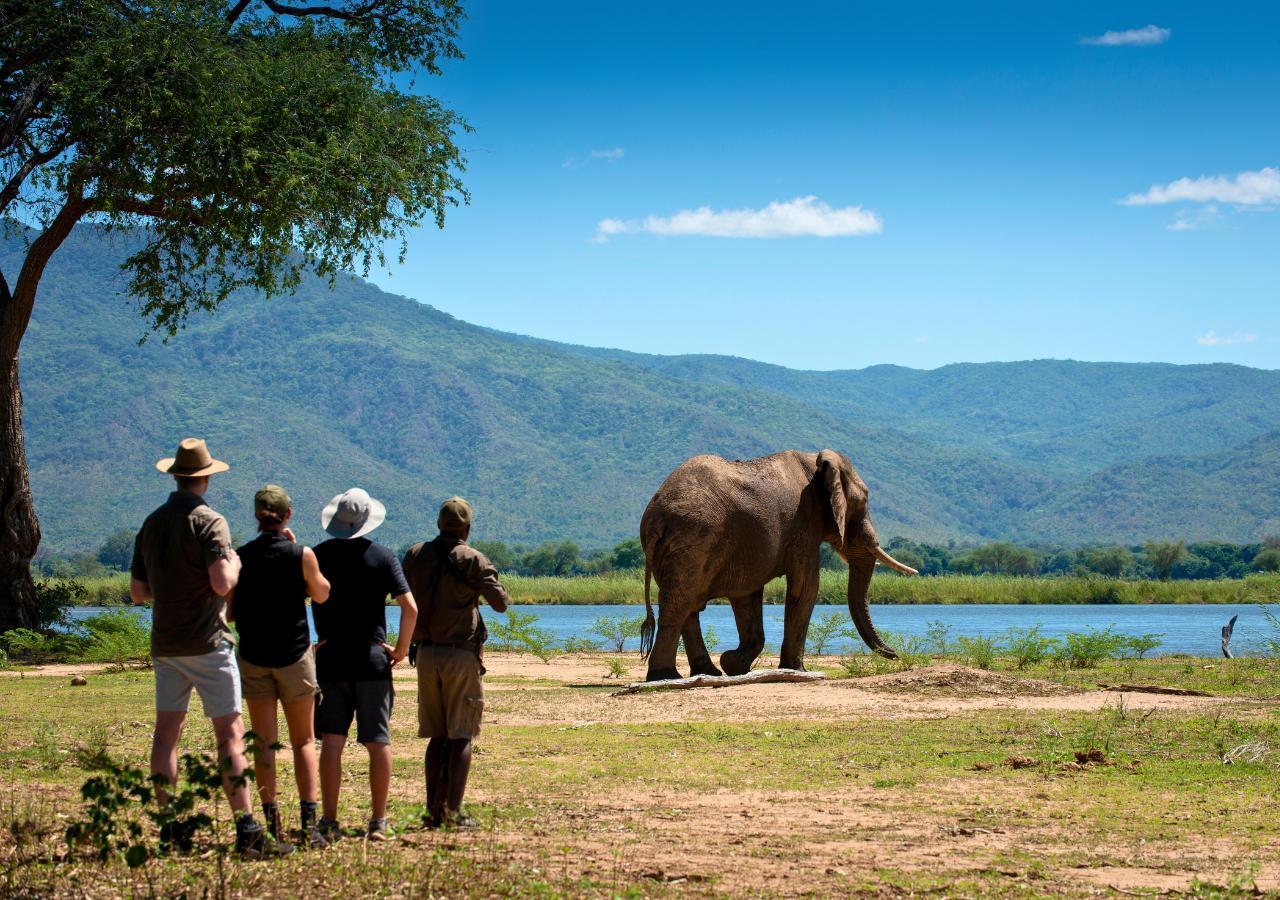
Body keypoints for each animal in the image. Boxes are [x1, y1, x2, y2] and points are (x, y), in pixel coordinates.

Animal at [639, 449, 917, 682]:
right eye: (864, 501)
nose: (895, 654)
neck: (814, 462)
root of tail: (654, 518)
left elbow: (747, 595)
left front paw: (734, 664)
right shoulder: (804, 523)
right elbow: (805, 588)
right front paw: (797, 670)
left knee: (689, 605)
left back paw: (709, 672)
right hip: (694, 541)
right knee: (681, 602)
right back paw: (665, 676)